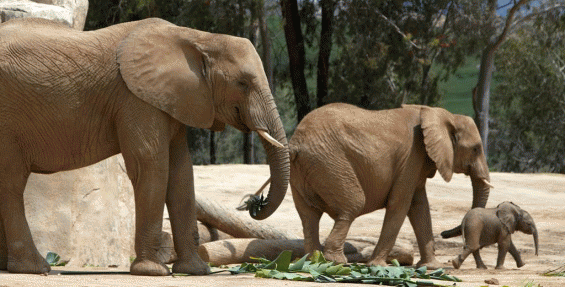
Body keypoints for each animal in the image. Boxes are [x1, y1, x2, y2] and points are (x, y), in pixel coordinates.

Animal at [0, 17, 288, 276]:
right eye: (243, 83)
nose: (254, 203)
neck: (196, 37)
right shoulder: (135, 99)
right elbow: (151, 167)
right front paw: (153, 271)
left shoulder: (173, 100)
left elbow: (181, 174)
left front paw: (196, 271)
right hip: (8, 122)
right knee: (11, 184)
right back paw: (36, 268)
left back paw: (9, 267)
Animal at [288, 104, 492, 270]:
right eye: (476, 149)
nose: (444, 233)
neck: (441, 114)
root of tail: (296, 143)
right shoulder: (412, 156)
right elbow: (400, 204)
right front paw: (378, 265)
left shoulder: (417, 161)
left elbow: (419, 206)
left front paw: (431, 267)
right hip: (329, 162)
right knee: (353, 205)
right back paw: (336, 262)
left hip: (305, 169)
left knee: (309, 215)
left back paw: (314, 261)